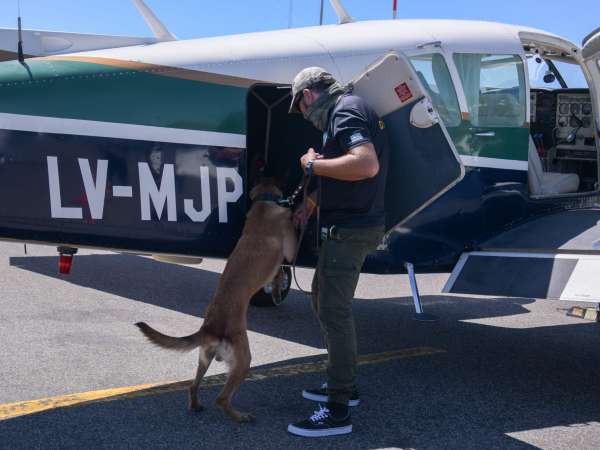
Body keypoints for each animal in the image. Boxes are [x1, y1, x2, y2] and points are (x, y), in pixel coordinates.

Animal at [135, 180, 296, 422]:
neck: (262, 205)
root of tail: (211, 329)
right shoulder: (288, 250)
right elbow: (284, 263)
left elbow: (278, 275)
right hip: (243, 361)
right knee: (221, 398)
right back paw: (240, 417)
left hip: (204, 358)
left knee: (193, 386)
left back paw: (196, 406)